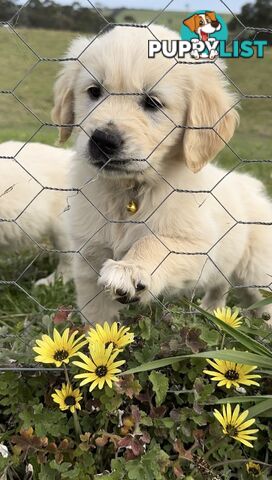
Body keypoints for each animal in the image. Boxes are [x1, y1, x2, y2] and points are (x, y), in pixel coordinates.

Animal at [52, 24, 272, 324]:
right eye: (94, 91)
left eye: (152, 102)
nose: (103, 140)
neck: (130, 190)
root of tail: (250, 185)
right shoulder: (89, 257)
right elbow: (98, 321)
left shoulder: (198, 247)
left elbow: (153, 241)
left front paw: (131, 268)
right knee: (220, 287)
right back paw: (211, 310)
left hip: (256, 272)